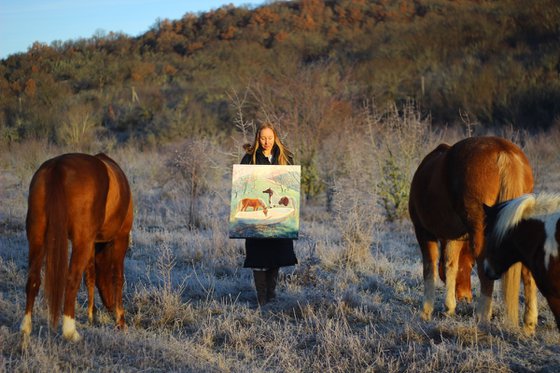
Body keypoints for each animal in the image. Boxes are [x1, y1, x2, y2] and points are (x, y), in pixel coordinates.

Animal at [20, 153, 135, 342]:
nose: (110, 307)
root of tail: (58, 166)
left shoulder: (92, 242)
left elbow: (90, 276)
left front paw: (91, 315)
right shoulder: (120, 238)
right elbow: (117, 277)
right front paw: (121, 321)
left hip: (37, 235)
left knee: (33, 279)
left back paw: (25, 328)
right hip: (81, 241)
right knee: (71, 279)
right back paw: (70, 331)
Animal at [410, 136, 540, 332]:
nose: (465, 297)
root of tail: (503, 151)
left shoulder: (424, 232)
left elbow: (429, 269)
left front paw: (426, 312)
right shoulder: (454, 237)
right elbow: (450, 265)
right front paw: (449, 308)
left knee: (486, 274)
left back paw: (482, 318)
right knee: (527, 272)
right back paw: (529, 323)